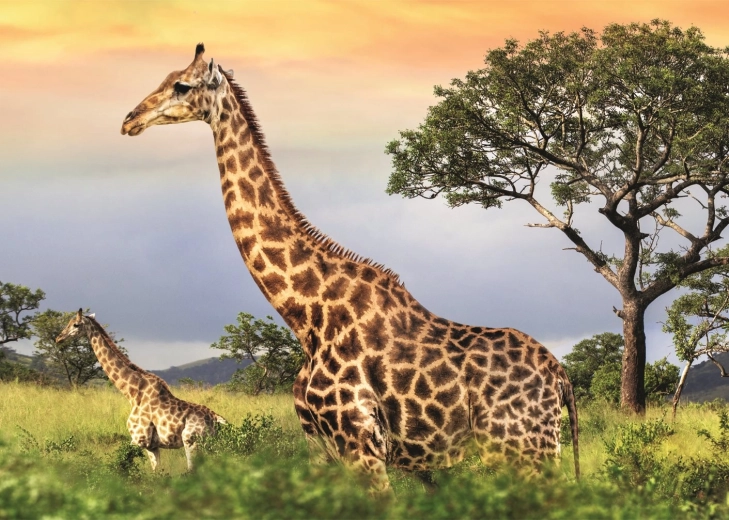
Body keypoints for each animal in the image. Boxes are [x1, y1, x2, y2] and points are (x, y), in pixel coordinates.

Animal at [56, 309, 226, 471]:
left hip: (192, 443)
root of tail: (216, 418)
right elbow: (157, 472)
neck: (132, 393)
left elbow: (120, 464)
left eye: (75, 324)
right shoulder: (152, 446)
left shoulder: (139, 439)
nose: (59, 338)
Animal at [121, 43, 579, 491]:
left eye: (181, 85)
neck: (305, 315)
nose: (130, 119)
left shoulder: (361, 442)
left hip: (524, 446)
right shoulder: (320, 446)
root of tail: (560, 376)